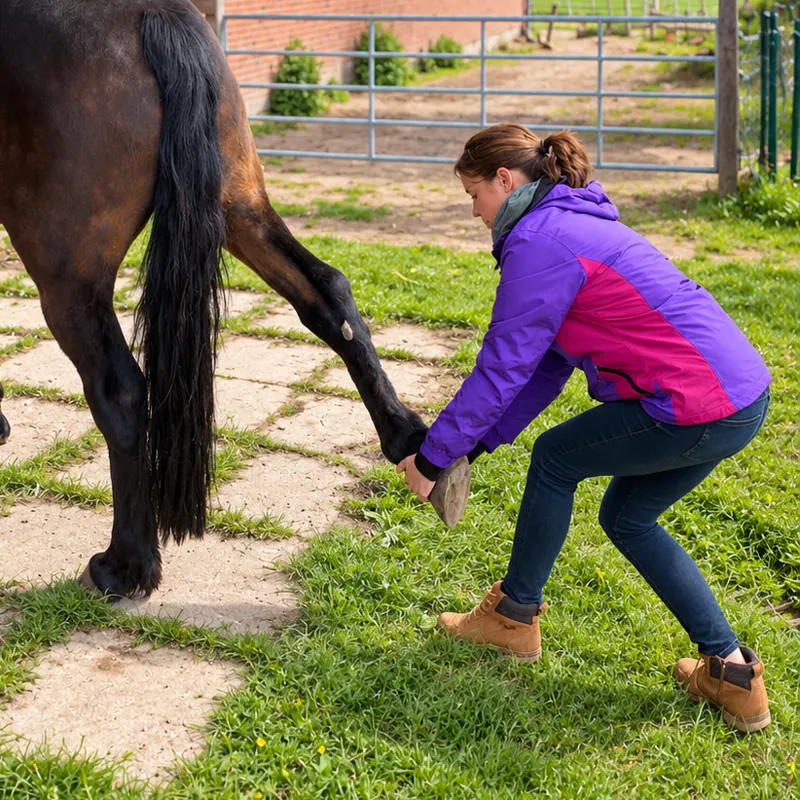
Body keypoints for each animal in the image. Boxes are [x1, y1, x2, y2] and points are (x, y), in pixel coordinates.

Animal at [0, 0, 431, 598]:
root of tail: (150, 12)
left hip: (70, 277)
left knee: (119, 391)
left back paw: (128, 564)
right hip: (238, 207)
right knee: (330, 294)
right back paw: (405, 434)